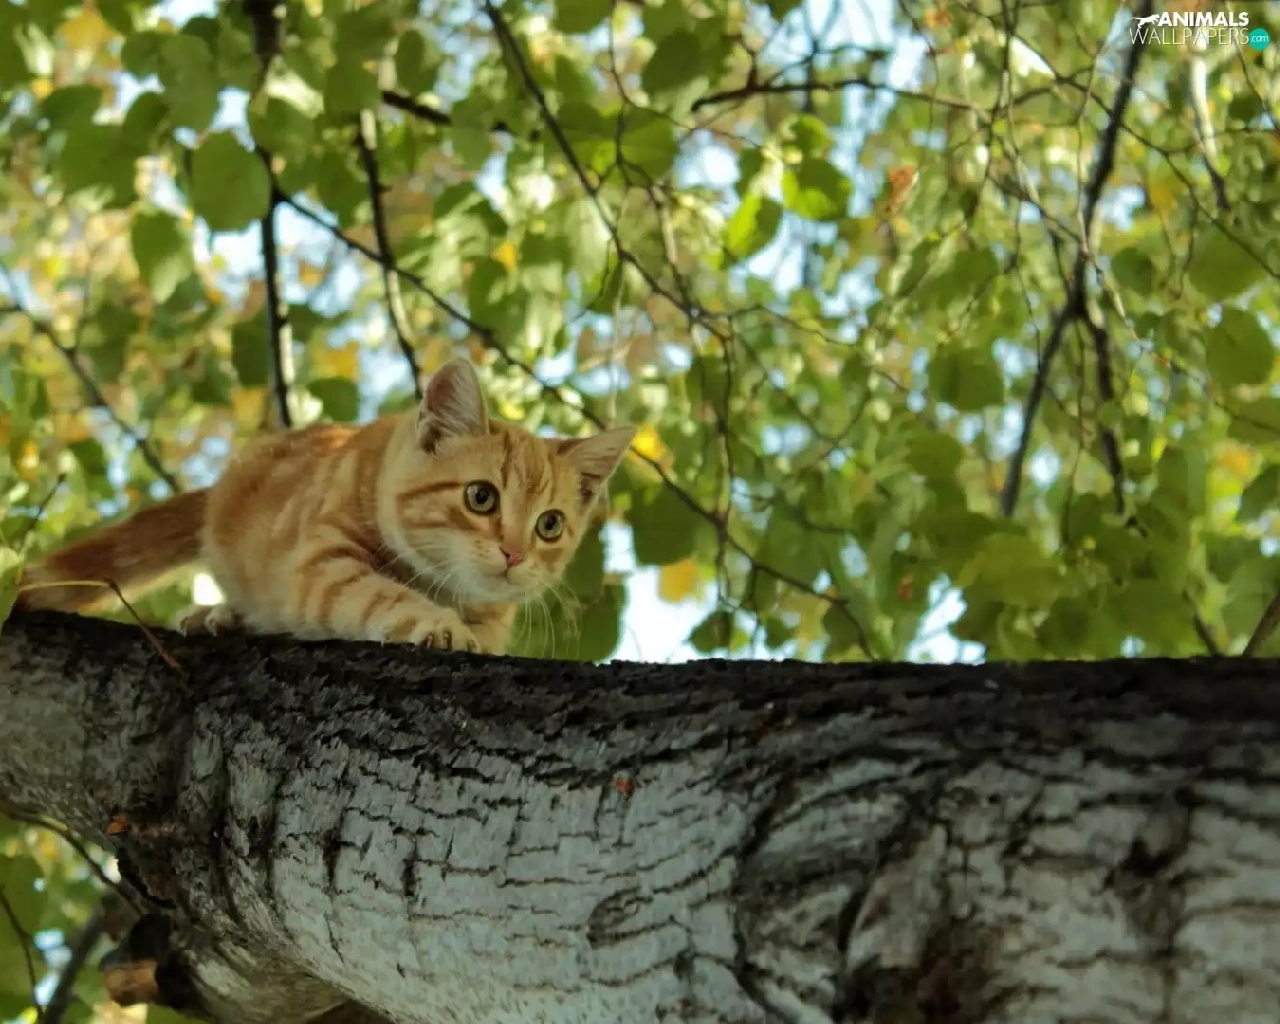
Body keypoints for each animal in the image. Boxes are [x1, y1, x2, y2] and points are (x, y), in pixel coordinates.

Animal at [17, 357, 636, 655]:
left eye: (549, 525)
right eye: (480, 497)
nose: (513, 554)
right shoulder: (318, 563)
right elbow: (379, 592)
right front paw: (441, 625)